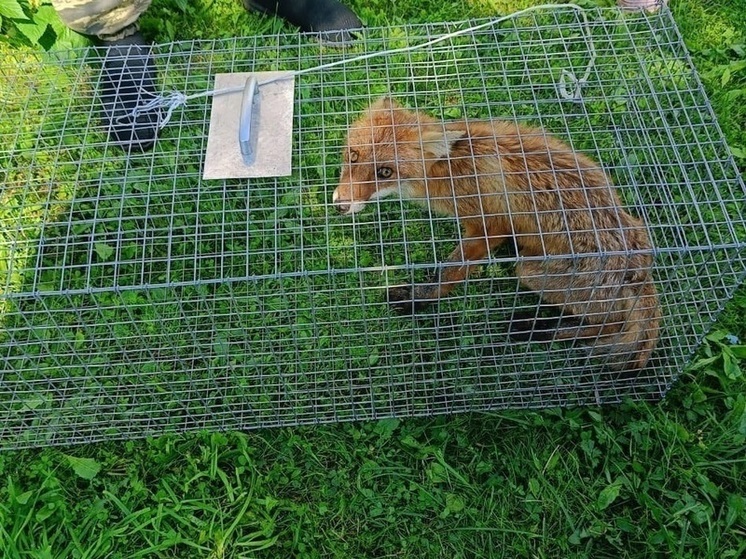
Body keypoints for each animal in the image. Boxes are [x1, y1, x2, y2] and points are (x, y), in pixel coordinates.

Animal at [334, 97, 660, 372]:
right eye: (353, 156)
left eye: (385, 172)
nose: (340, 205)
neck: (451, 166)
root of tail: (640, 265)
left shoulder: (489, 227)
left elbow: (448, 274)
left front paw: (419, 300)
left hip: (530, 270)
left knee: (610, 323)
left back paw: (540, 330)